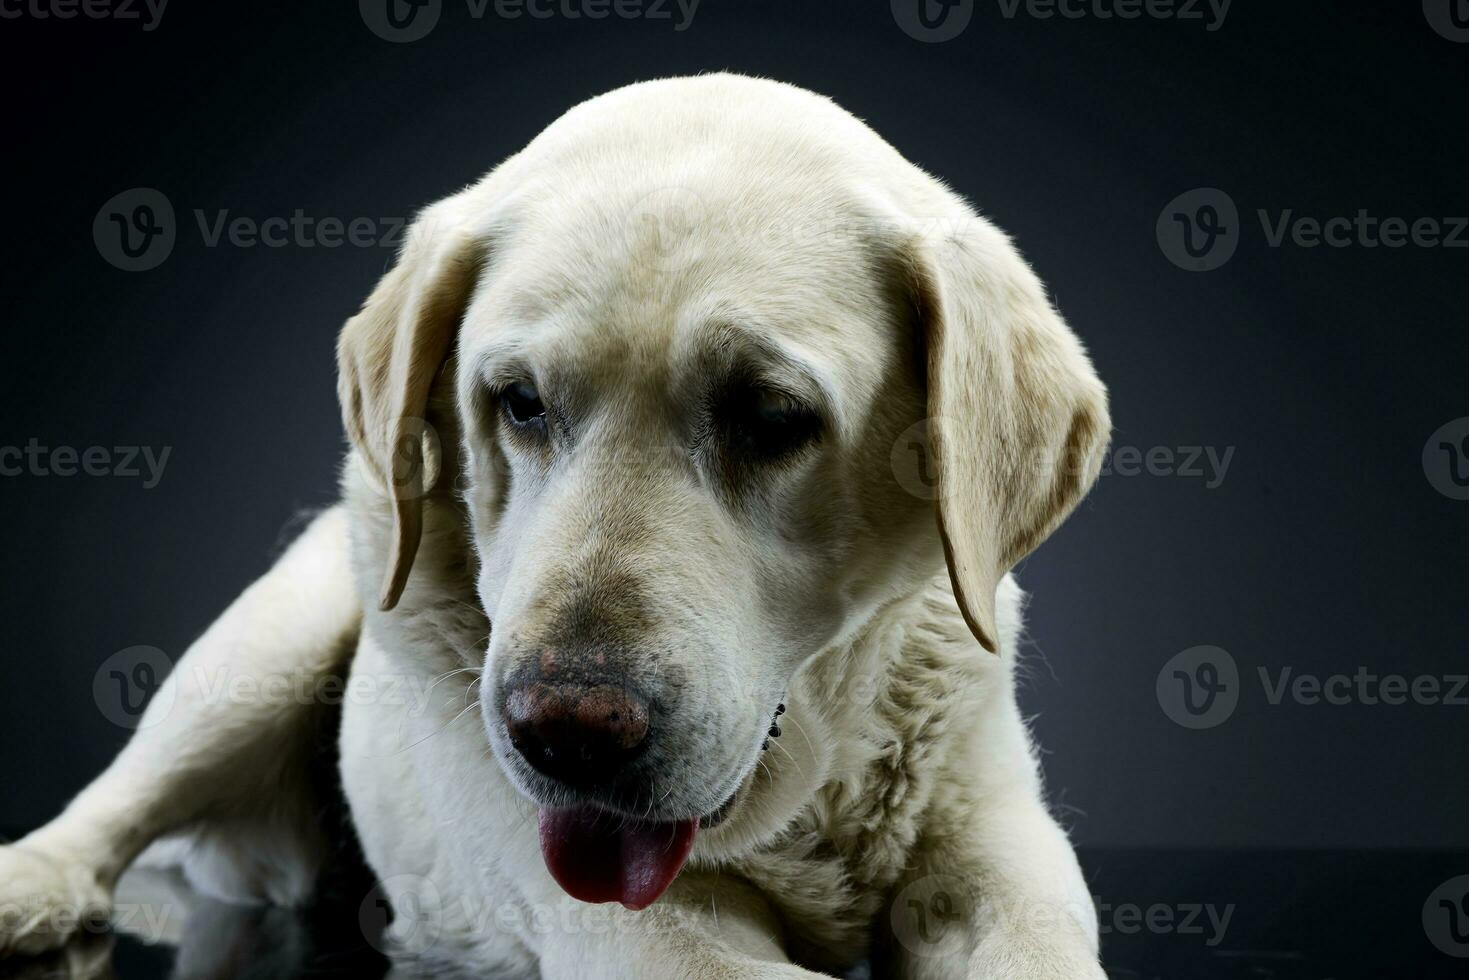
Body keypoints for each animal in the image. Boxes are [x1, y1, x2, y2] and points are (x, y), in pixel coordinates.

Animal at [0, 72, 1104, 975]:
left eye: (771, 415)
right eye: (520, 401)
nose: (569, 733)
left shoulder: (1001, 856)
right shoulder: (650, 936)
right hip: (263, 646)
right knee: (119, 797)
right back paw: (34, 886)